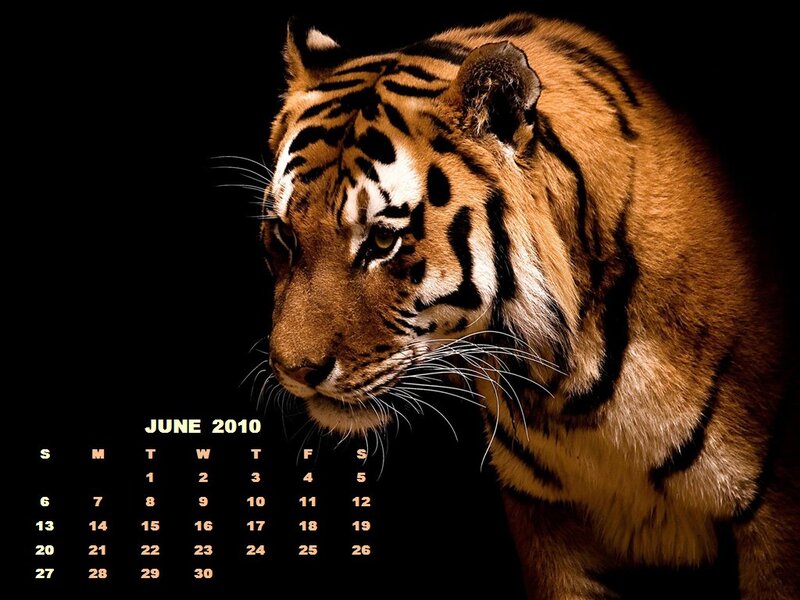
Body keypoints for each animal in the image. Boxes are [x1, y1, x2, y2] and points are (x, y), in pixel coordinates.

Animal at [260, 12, 799, 599]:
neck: (569, 390)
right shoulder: (546, 516)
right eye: (283, 236)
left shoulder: (773, 513)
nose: (295, 371)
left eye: (382, 241)